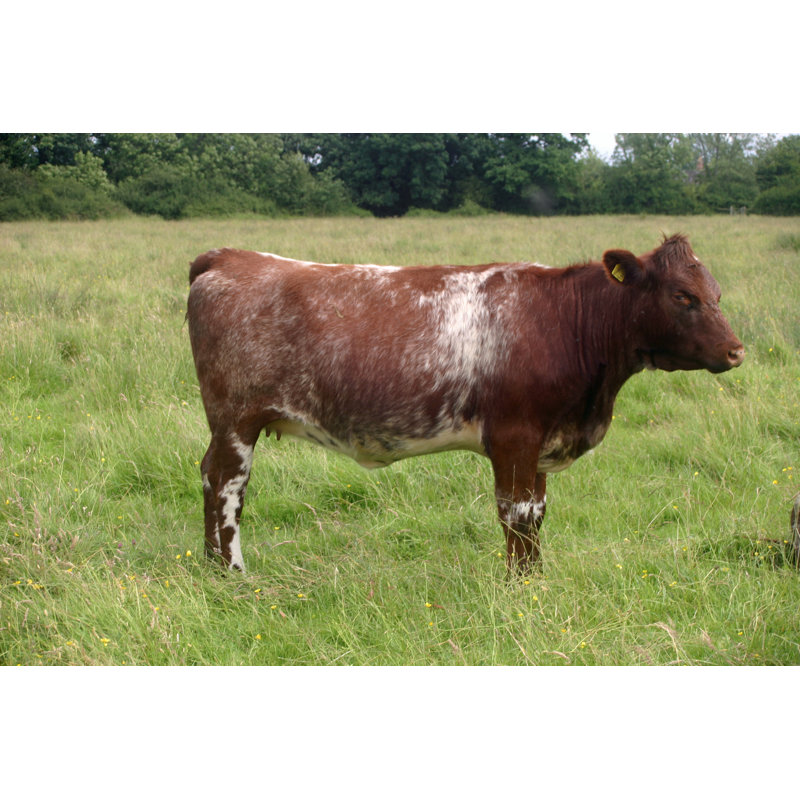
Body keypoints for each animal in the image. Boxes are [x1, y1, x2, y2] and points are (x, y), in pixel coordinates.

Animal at [186, 234, 744, 574]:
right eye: (682, 296)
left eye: (716, 292)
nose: (736, 350)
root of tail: (230, 256)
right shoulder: (516, 435)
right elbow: (517, 514)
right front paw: (521, 588)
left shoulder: (542, 442)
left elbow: (537, 512)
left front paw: (536, 578)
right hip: (235, 419)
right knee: (227, 485)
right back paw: (233, 571)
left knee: (210, 476)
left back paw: (213, 569)